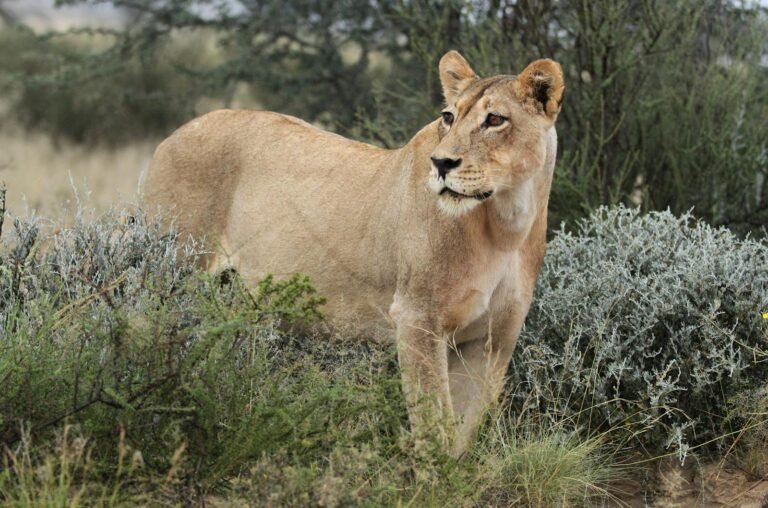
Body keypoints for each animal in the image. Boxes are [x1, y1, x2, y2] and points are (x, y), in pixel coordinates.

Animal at [142, 51, 564, 456]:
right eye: (448, 117)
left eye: (495, 119)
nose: (442, 163)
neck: (506, 222)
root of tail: (172, 135)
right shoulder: (418, 318)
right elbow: (433, 426)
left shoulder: (494, 340)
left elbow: (462, 431)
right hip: (172, 274)